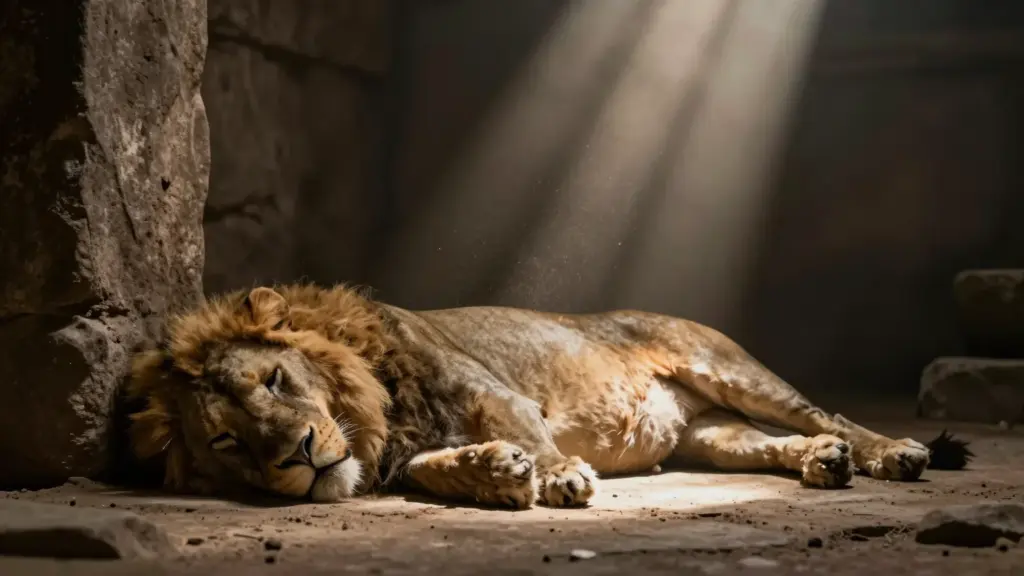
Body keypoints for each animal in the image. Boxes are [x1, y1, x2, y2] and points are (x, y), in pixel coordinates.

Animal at [126, 284, 970, 508]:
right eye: (228, 441)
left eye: (274, 380)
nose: (298, 455)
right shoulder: (400, 451)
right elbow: (431, 467)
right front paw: (495, 474)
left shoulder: (493, 392)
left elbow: (527, 430)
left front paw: (555, 473)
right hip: (710, 435)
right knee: (774, 443)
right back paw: (824, 462)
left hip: (725, 366)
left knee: (828, 412)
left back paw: (891, 453)